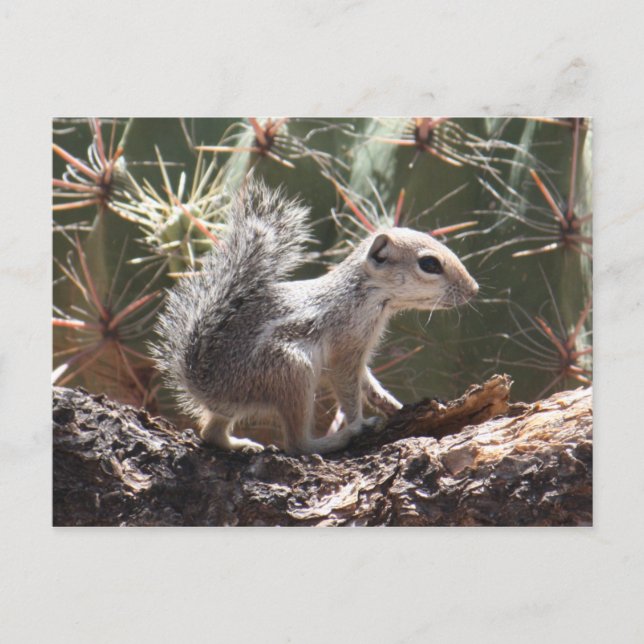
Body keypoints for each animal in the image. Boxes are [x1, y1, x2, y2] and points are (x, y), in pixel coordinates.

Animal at [152, 180, 479, 455]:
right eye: (429, 264)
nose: (473, 289)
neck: (365, 294)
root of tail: (205, 385)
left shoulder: (359, 354)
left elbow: (368, 384)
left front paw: (394, 405)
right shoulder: (345, 349)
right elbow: (349, 391)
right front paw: (360, 423)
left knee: (211, 432)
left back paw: (240, 444)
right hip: (291, 370)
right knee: (296, 444)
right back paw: (338, 438)